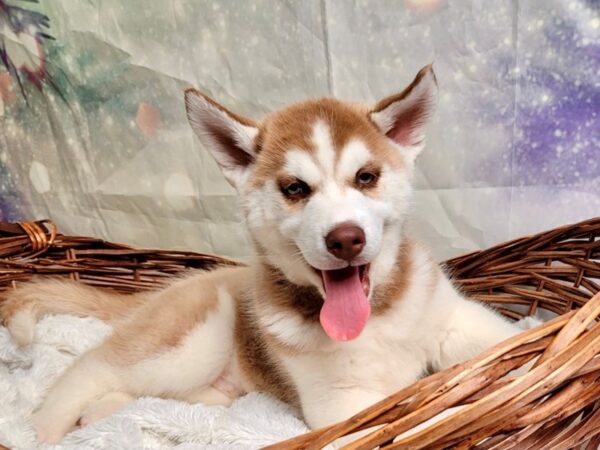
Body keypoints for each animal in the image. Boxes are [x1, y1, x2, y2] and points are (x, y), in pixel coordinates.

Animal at [0, 66, 524, 442]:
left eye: (366, 177)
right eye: (295, 189)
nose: (345, 239)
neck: (376, 315)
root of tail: (169, 290)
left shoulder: (455, 321)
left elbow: (503, 340)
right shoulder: (342, 402)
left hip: (204, 383)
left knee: (157, 396)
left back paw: (99, 414)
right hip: (188, 342)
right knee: (90, 368)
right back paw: (44, 430)